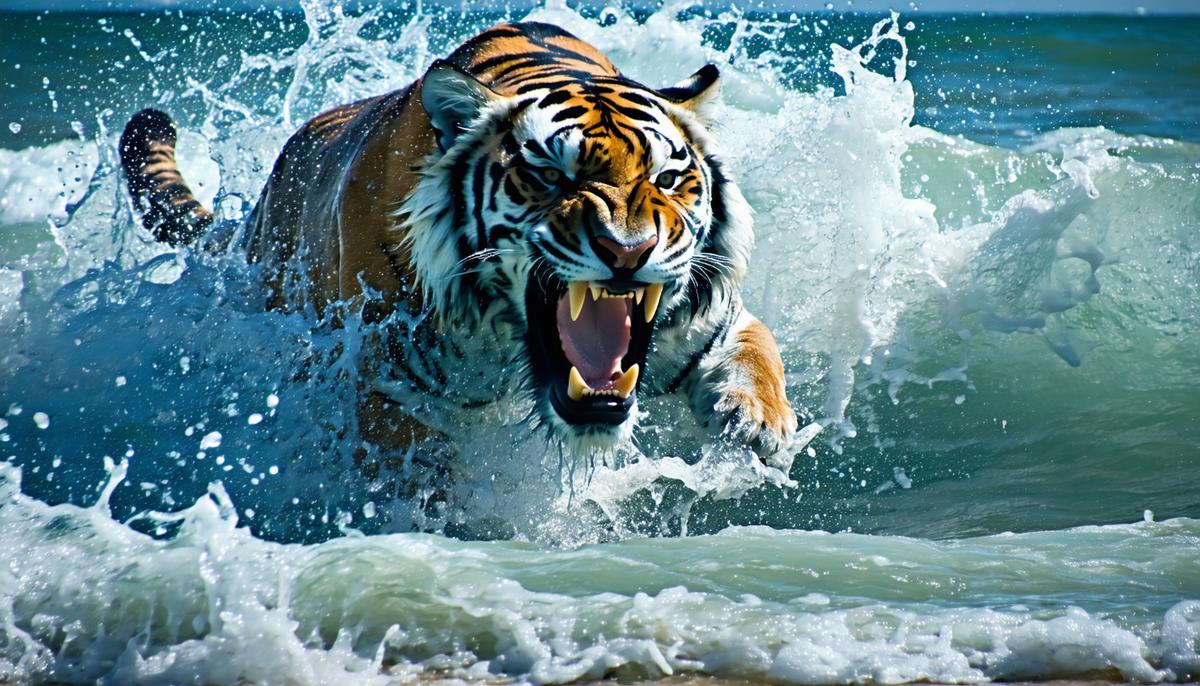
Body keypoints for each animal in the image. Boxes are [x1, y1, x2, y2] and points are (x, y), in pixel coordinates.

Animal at [118, 21, 798, 475]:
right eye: (551, 177)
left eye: (666, 179)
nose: (629, 251)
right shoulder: (379, 370)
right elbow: (408, 450)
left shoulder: (711, 319)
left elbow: (758, 349)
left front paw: (757, 422)